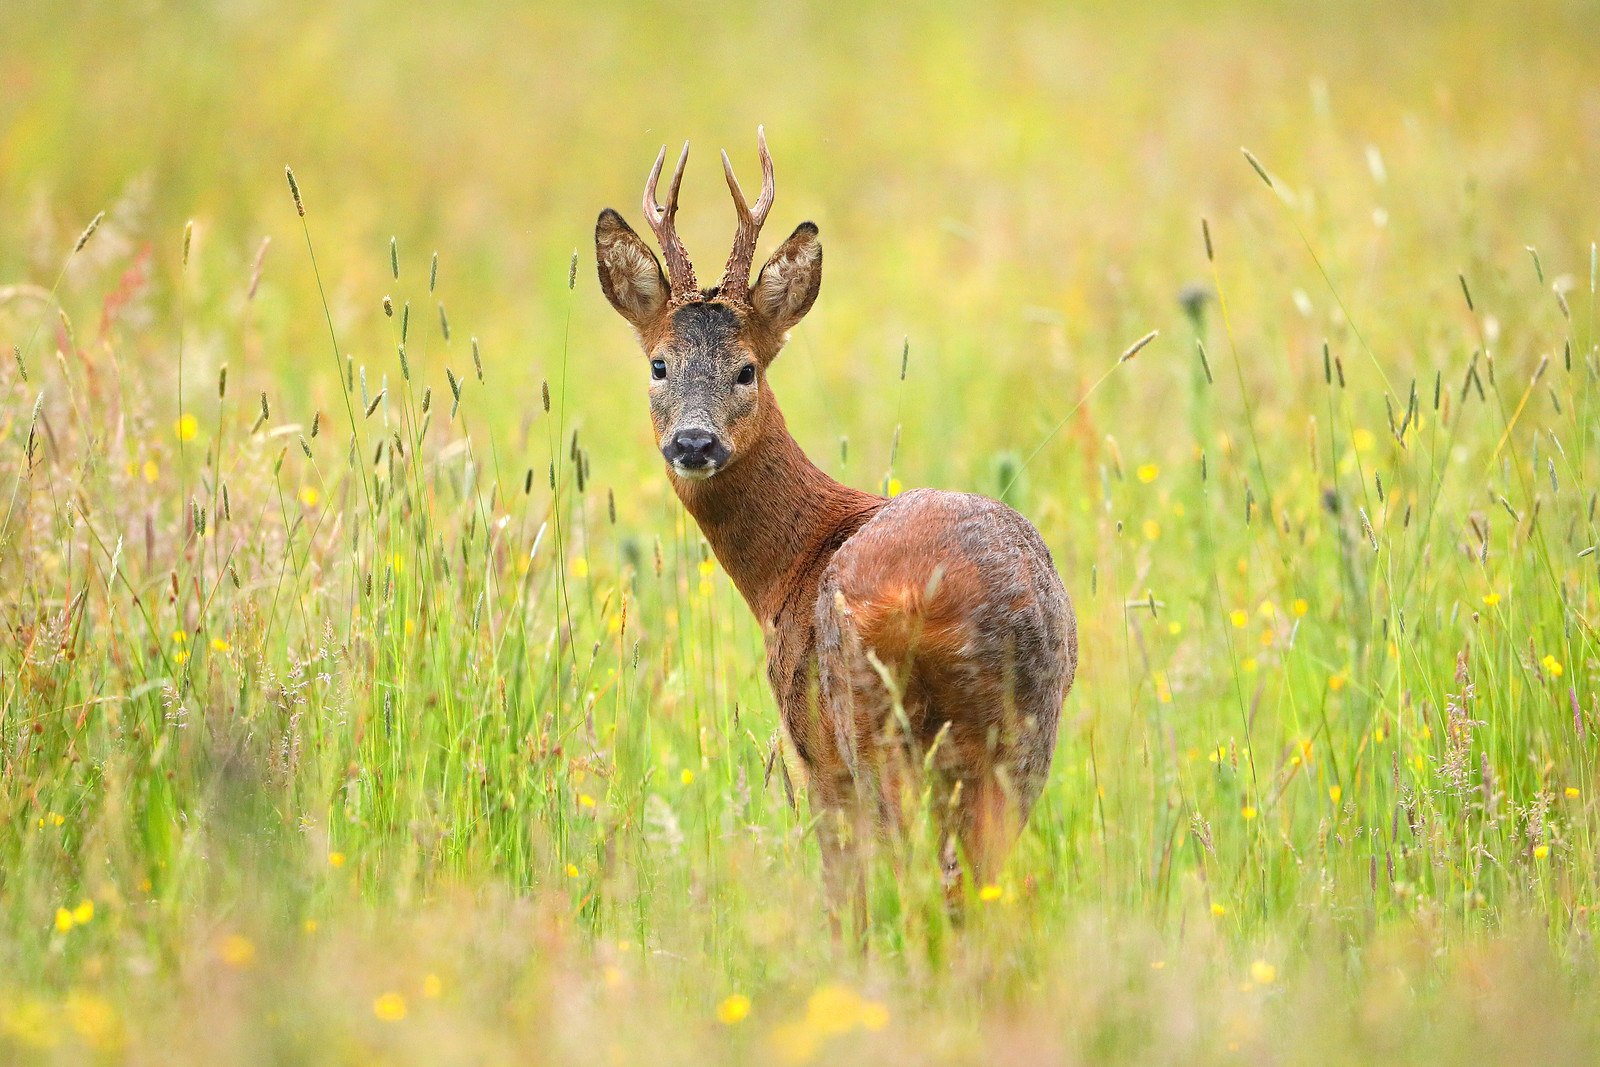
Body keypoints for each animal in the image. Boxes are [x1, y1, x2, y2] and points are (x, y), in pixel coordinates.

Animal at [588, 127, 1075, 927]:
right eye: (659, 364)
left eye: (747, 369)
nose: (694, 442)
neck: (792, 560)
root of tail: (937, 597)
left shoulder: (811, 753)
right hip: (1025, 730)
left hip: (870, 726)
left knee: (918, 875)